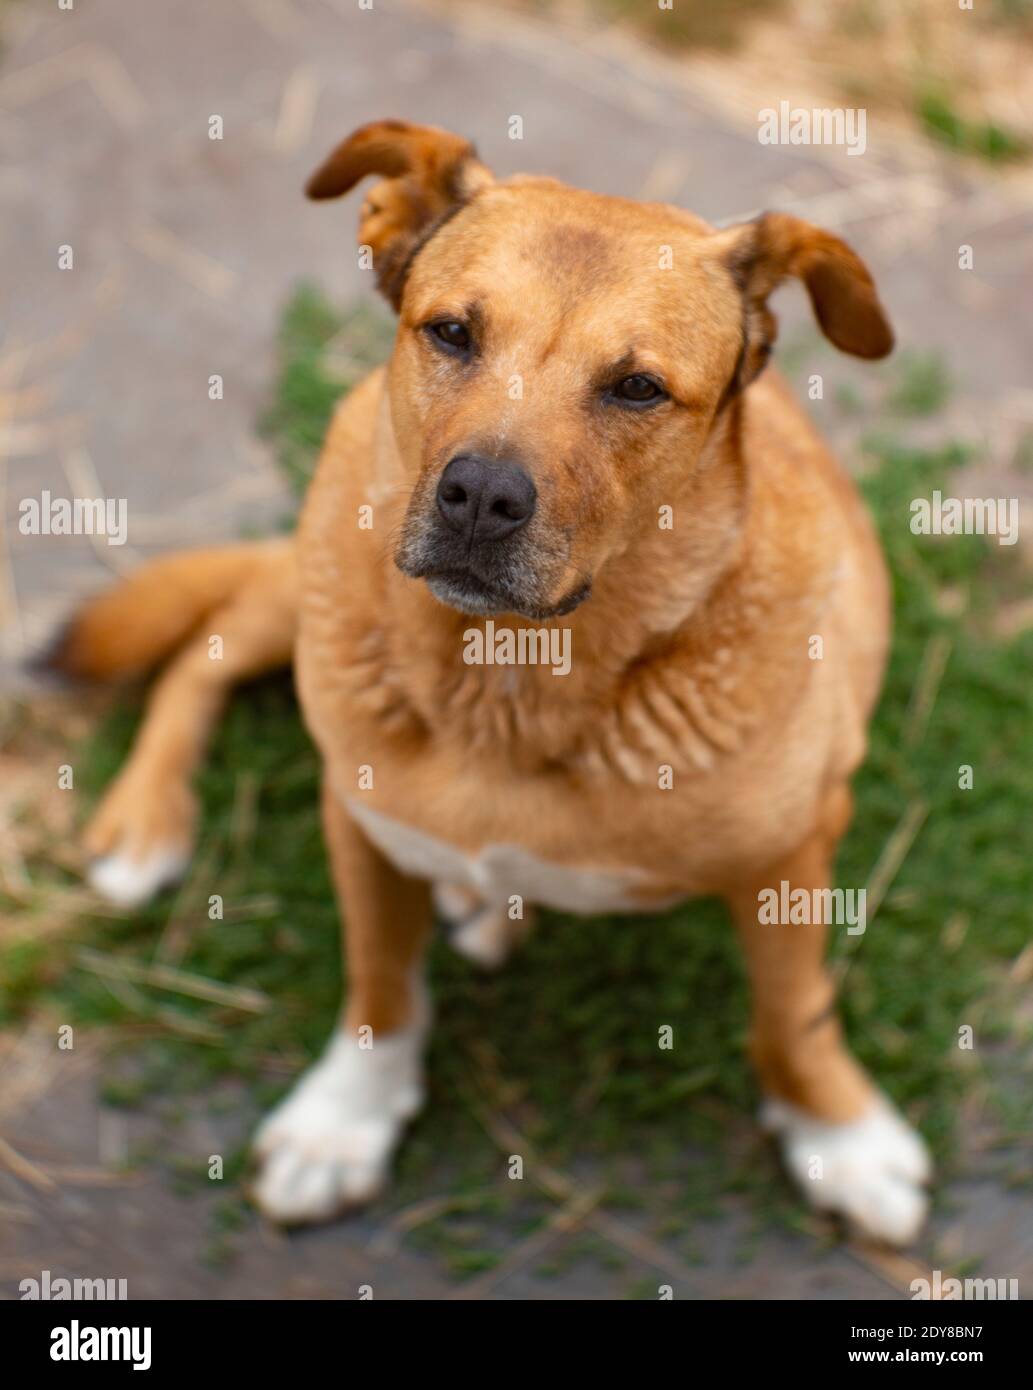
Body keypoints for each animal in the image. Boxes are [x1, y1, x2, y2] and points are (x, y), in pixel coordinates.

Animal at [54, 122, 928, 1251]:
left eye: (637, 387)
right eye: (451, 332)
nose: (477, 497)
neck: (510, 681)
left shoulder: (795, 847)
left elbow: (792, 1011)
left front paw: (837, 1131)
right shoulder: (361, 819)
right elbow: (379, 984)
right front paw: (347, 1118)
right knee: (215, 632)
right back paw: (145, 822)